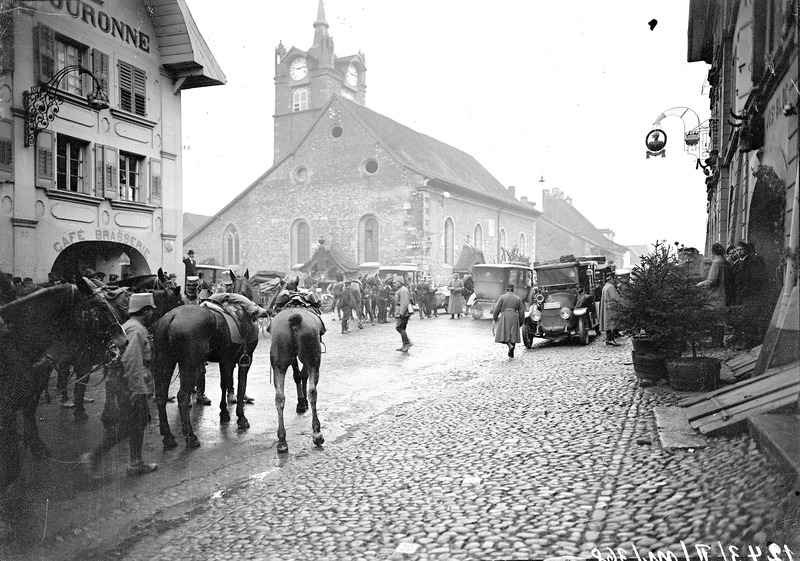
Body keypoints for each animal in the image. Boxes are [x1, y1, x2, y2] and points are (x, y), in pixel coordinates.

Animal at [152, 270, 260, 448]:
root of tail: (171, 317)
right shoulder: (245, 360)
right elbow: (240, 386)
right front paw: (241, 418)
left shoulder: (226, 361)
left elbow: (225, 385)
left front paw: (224, 413)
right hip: (189, 365)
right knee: (182, 397)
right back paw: (191, 436)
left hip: (165, 361)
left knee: (161, 395)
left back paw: (168, 436)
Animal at [270, 304, 324, 452]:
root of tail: (294, 320)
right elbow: (302, 375)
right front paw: (302, 402)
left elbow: (297, 375)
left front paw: (301, 402)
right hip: (313, 358)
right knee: (313, 392)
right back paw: (317, 433)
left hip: (278, 363)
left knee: (279, 397)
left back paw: (282, 440)